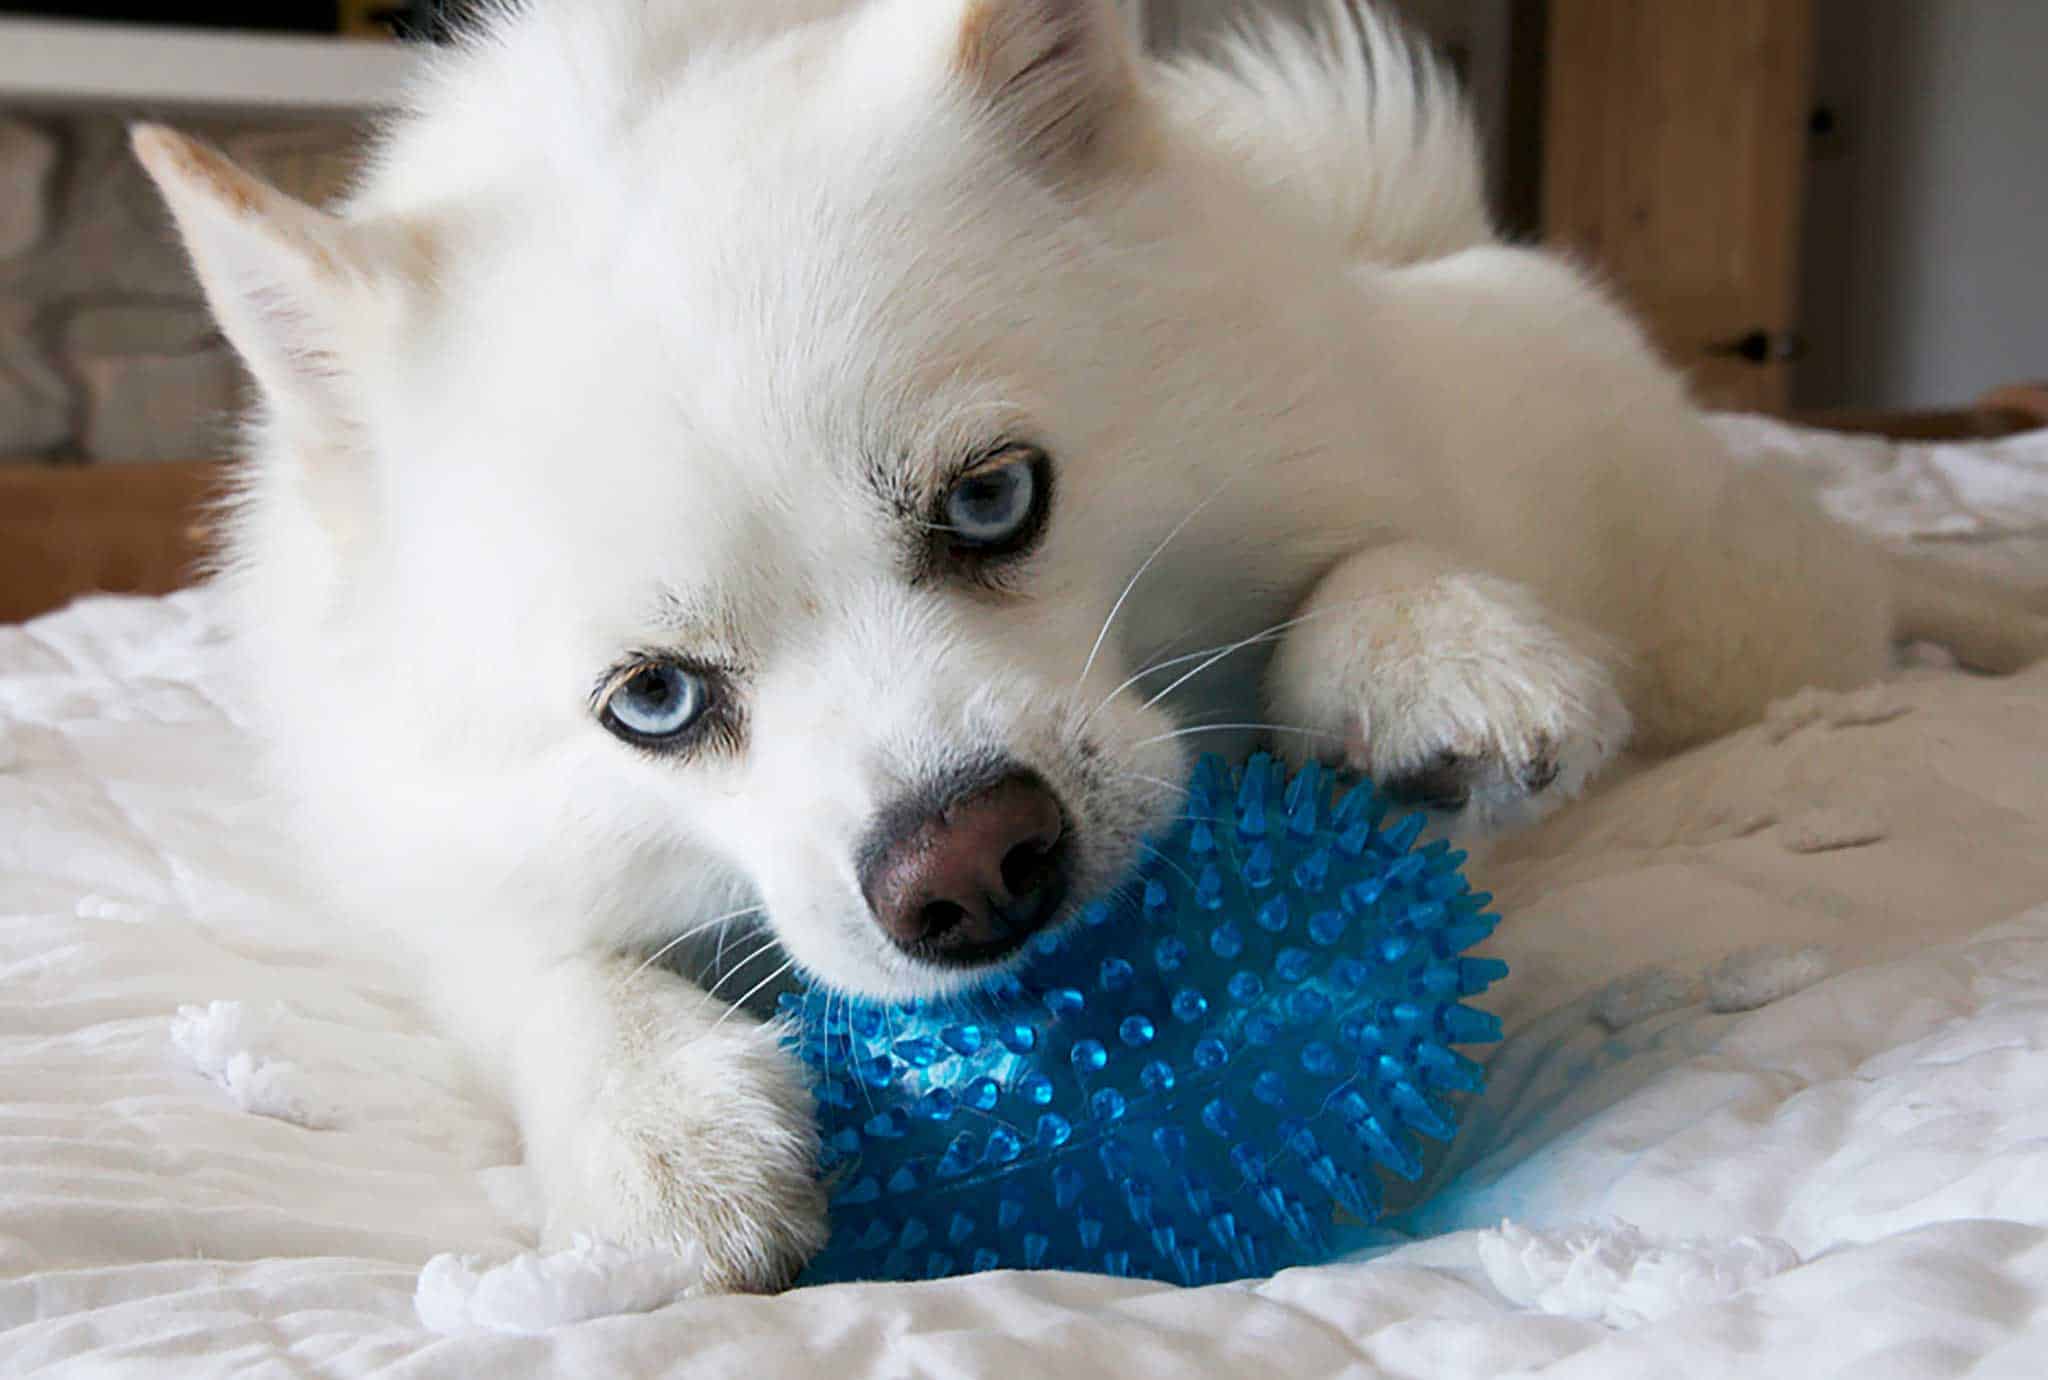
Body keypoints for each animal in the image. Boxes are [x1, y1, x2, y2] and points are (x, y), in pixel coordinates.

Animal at [136, 2, 2039, 1294]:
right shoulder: (424, 877)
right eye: (655, 703)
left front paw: (1423, 657)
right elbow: (533, 977)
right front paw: (661, 1137)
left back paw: (1999, 615)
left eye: (992, 500)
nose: (971, 871)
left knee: (1870, 573)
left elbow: (1380, 553)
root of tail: (1443, 251)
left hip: (1746, 622)